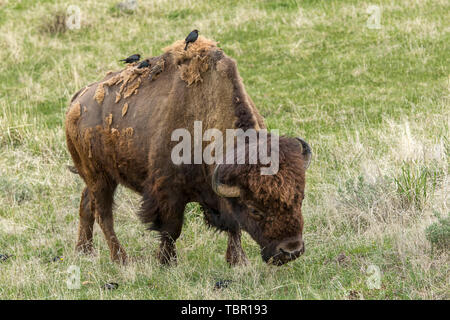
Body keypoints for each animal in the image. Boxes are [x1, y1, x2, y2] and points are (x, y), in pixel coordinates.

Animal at [65, 36, 312, 266]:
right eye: (255, 210)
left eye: (300, 198)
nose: (291, 251)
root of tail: (77, 99)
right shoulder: (168, 193)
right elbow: (171, 229)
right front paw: (166, 262)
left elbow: (234, 227)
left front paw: (237, 260)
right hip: (100, 178)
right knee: (104, 215)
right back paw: (121, 259)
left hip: (99, 178)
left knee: (86, 204)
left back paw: (84, 250)